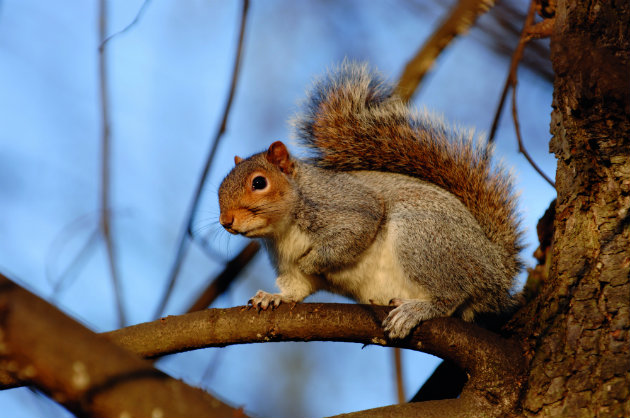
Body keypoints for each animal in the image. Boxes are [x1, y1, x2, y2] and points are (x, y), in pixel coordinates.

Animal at [220, 62, 524, 340]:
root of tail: (496, 269)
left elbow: (353, 233)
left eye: (259, 183)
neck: (282, 229)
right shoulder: (285, 264)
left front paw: (311, 261)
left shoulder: (346, 205)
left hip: (424, 238)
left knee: (453, 294)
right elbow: (296, 288)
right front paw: (273, 297)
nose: (226, 221)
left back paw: (417, 310)